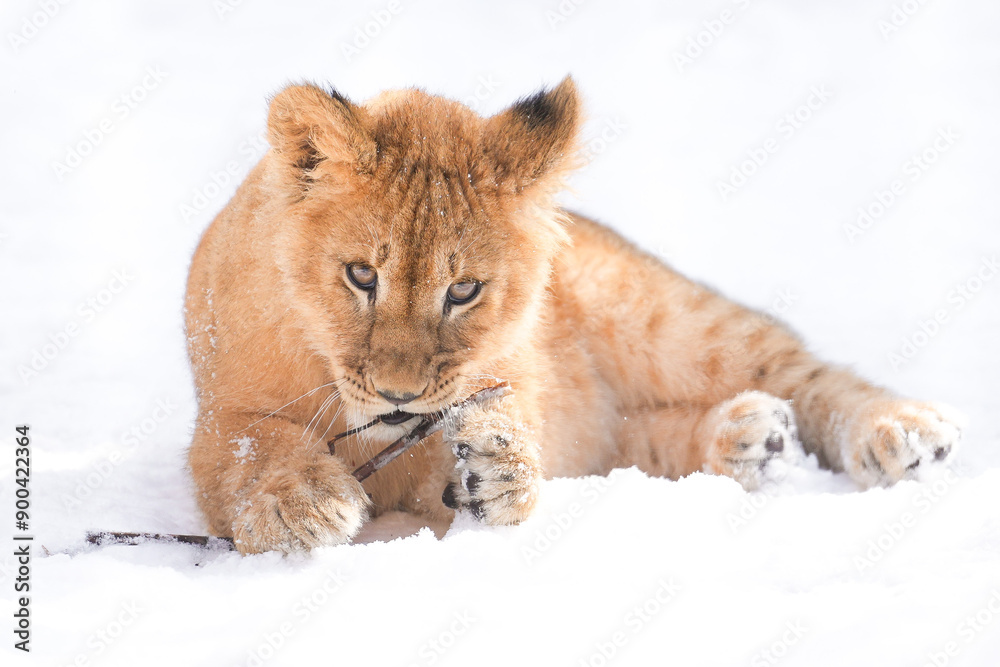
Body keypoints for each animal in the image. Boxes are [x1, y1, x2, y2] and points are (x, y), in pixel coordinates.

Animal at [185, 77, 962, 554]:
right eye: (361, 276)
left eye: (463, 290)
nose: (399, 394)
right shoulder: (219, 413)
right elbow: (249, 447)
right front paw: (301, 500)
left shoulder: (510, 375)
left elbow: (507, 427)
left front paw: (501, 470)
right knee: (638, 438)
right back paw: (751, 438)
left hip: (663, 319)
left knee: (799, 369)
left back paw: (900, 432)